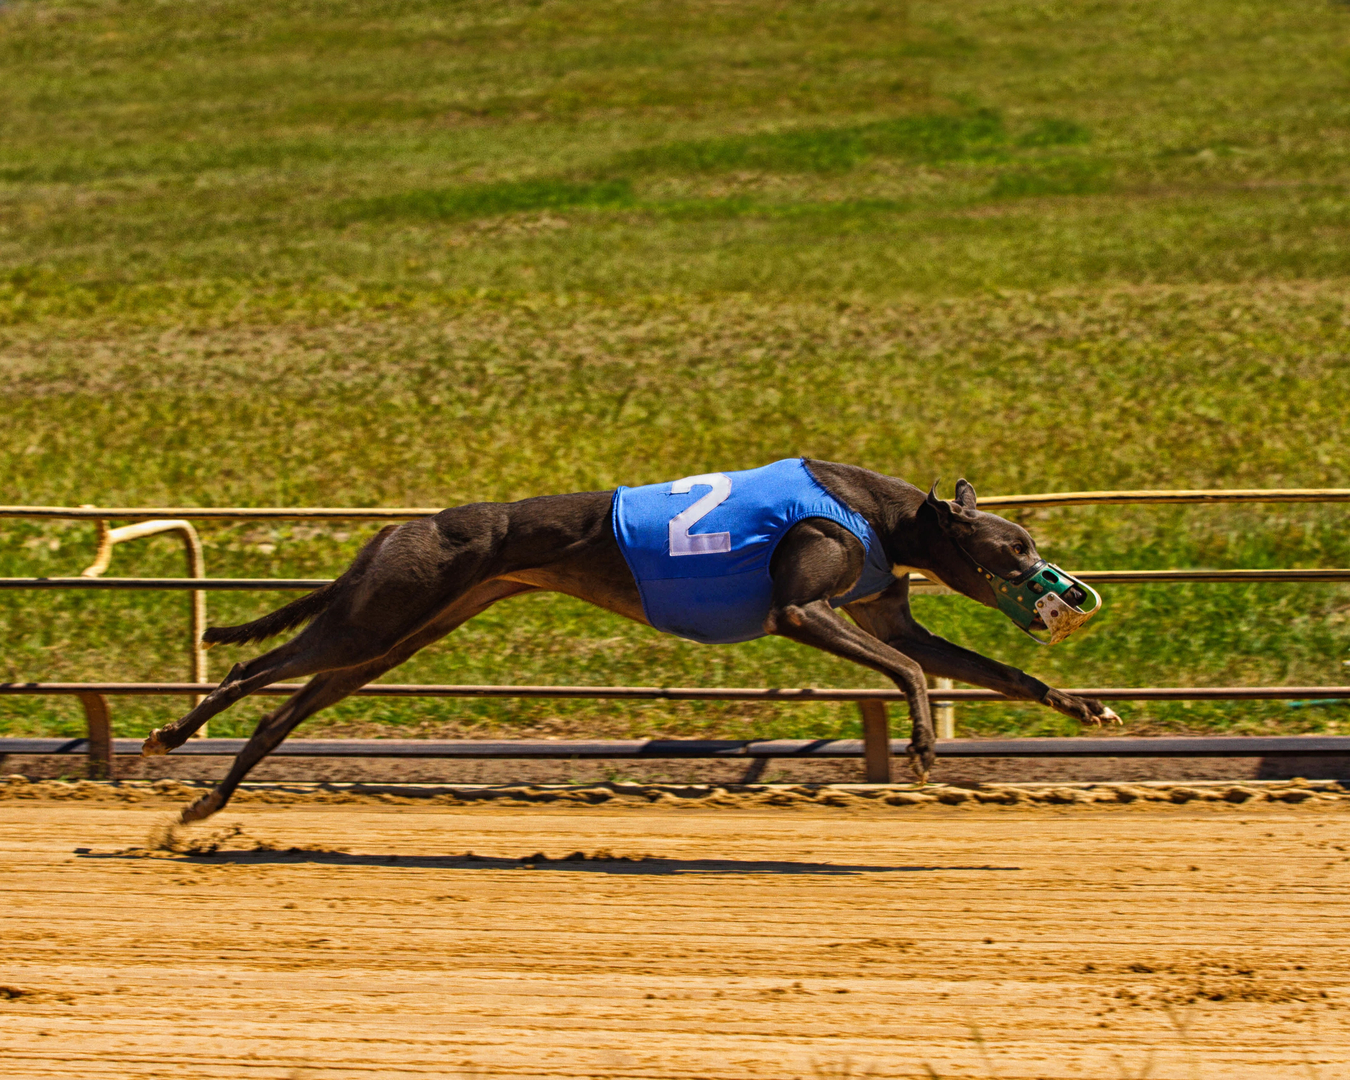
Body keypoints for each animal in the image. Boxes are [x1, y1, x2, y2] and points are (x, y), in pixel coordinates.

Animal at [147, 459, 1117, 820]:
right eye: (1016, 551)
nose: (1071, 594)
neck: (882, 514)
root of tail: (401, 528)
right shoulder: (803, 611)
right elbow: (911, 668)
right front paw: (918, 745)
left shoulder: (881, 609)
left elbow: (989, 670)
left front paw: (1085, 706)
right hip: (379, 611)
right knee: (256, 665)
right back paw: (171, 735)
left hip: (393, 639)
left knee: (288, 706)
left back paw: (209, 804)